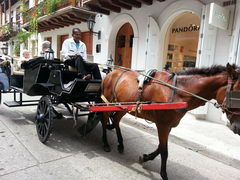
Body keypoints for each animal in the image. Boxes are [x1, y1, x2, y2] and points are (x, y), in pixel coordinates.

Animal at [100, 63, 240, 180]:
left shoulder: (168, 126)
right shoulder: (162, 125)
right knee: (104, 119)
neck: (178, 91)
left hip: (123, 106)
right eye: (235, 96)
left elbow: (160, 148)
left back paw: (120, 144)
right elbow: (164, 151)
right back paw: (105, 143)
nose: (238, 127)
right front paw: (163, 174)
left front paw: (146, 157)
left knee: (116, 120)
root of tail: (112, 72)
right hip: (107, 103)